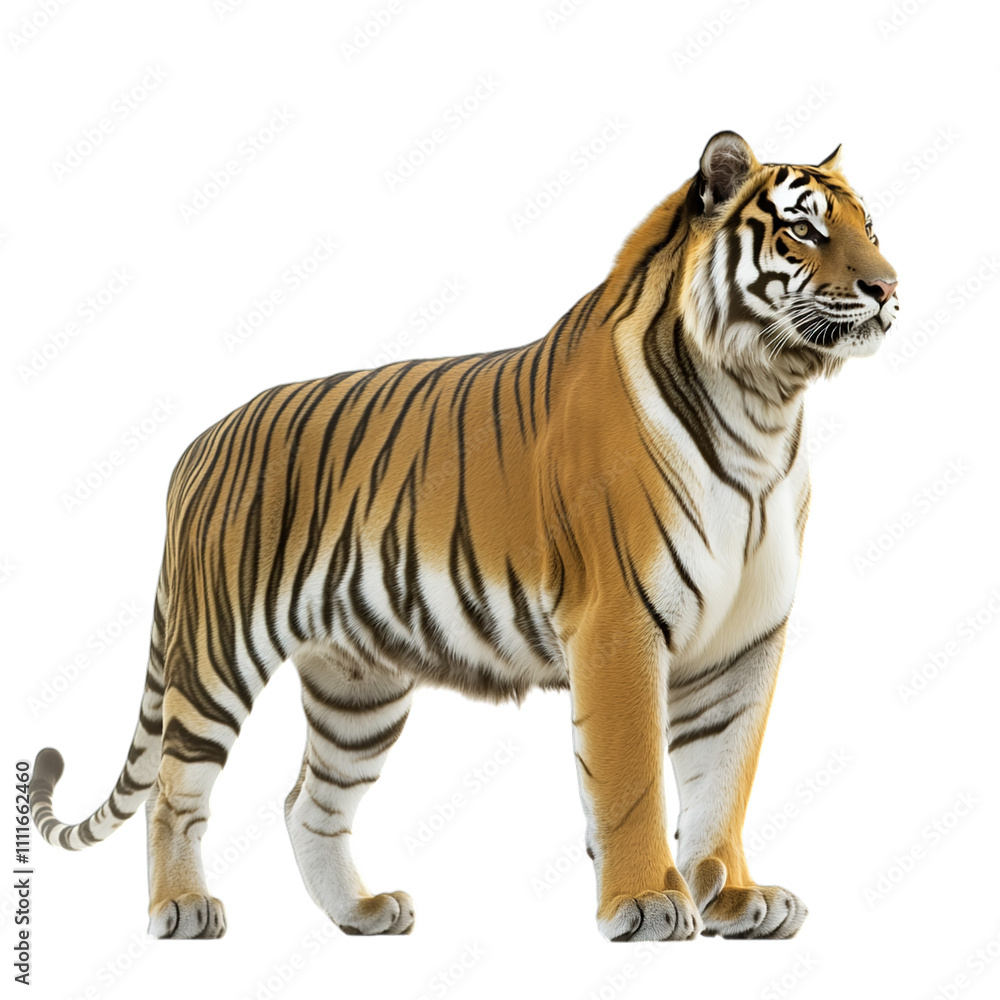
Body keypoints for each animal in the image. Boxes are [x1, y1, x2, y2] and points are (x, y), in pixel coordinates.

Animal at [30, 130, 898, 942]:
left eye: (871, 227)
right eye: (805, 230)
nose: (889, 286)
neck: (763, 402)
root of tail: (199, 442)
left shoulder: (744, 640)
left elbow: (725, 778)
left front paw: (737, 897)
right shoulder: (620, 624)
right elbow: (633, 780)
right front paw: (648, 902)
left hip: (358, 687)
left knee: (308, 801)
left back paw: (361, 913)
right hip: (218, 651)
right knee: (174, 790)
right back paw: (180, 908)